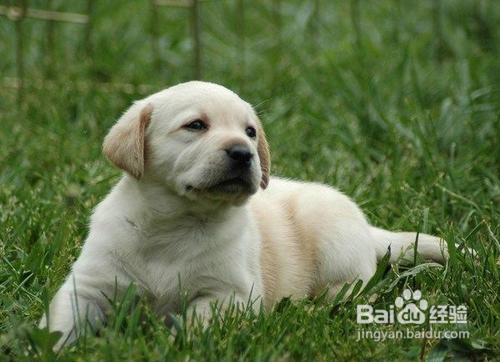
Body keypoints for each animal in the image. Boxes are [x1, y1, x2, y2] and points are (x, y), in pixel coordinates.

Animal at [40, 81, 446, 348]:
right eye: (196, 125)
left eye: (250, 132)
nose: (242, 153)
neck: (174, 223)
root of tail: (368, 229)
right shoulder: (90, 284)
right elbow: (61, 321)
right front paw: (44, 347)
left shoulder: (230, 294)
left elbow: (193, 324)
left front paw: (170, 345)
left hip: (332, 234)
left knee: (356, 285)